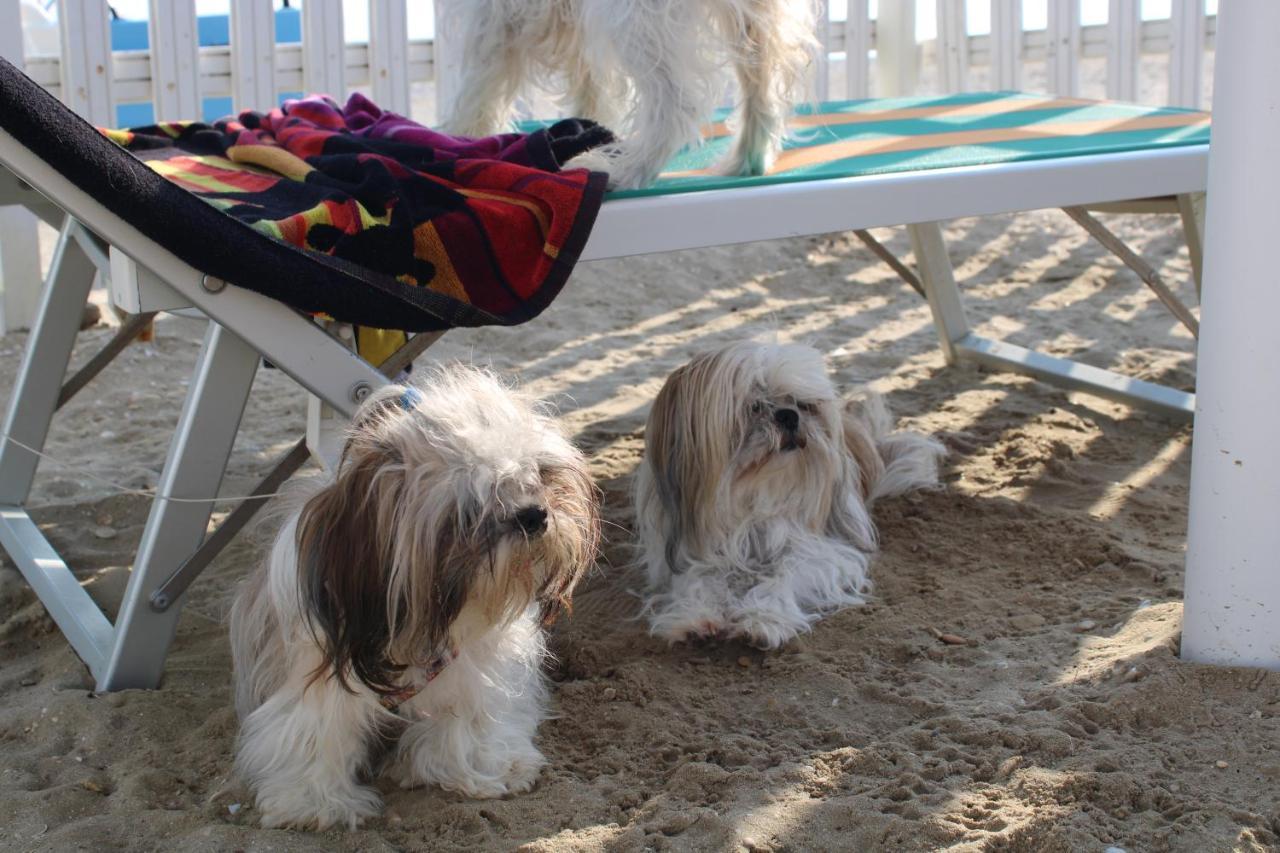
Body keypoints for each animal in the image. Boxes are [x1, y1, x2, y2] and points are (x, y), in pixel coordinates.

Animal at [229, 366, 599, 824]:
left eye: (538, 477)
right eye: (471, 508)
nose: (533, 514)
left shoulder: (472, 666)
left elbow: (468, 716)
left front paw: (482, 767)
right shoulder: (318, 672)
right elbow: (314, 729)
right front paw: (316, 802)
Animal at [445, 0, 814, 188]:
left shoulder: (492, 14)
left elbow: (479, 82)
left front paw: (463, 140)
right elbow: (591, 86)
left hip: (633, 15)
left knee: (679, 100)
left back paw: (623, 170)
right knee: (761, 84)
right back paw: (749, 160)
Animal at [637, 338, 947, 645]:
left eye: (804, 405)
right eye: (754, 406)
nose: (788, 415)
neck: (757, 495)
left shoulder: (823, 550)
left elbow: (785, 575)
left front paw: (763, 618)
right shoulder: (697, 553)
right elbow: (700, 580)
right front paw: (695, 617)